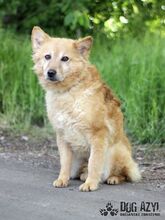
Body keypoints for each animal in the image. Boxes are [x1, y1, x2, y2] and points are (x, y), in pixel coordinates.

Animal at [31, 26, 141, 192]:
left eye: (65, 58)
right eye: (47, 56)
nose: (50, 72)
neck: (69, 91)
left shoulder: (98, 134)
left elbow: (94, 163)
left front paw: (91, 184)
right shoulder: (62, 136)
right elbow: (64, 163)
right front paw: (62, 180)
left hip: (116, 151)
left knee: (123, 173)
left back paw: (112, 178)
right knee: (80, 170)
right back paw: (82, 175)